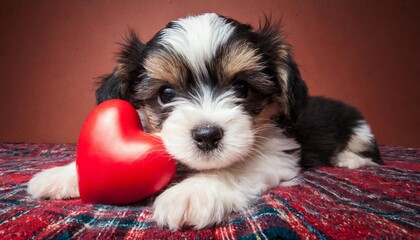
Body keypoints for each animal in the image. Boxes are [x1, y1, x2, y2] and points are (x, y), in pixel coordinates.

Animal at [27, 13, 382, 231]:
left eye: (242, 88)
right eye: (166, 94)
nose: (207, 135)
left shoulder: (277, 153)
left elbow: (236, 167)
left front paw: (192, 192)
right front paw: (63, 175)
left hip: (360, 130)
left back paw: (349, 160)